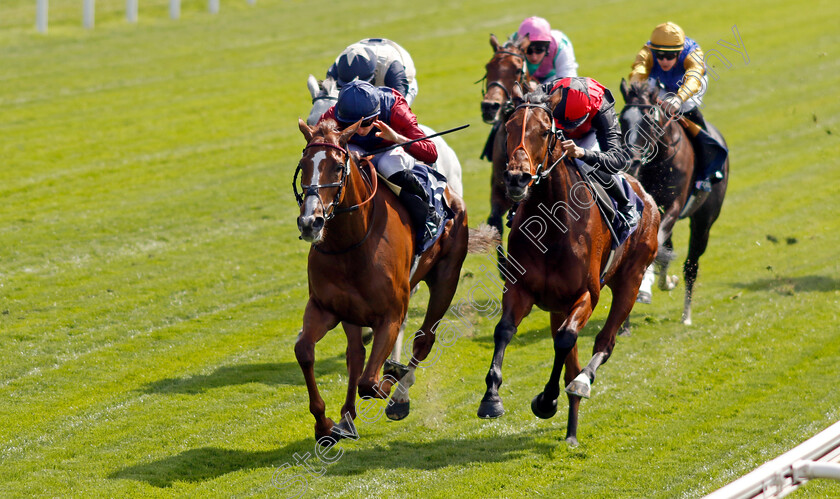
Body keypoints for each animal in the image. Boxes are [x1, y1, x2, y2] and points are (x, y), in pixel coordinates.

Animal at [296, 118, 482, 446]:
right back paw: (346, 419)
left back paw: (399, 397)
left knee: (423, 340)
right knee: (356, 355)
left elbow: (370, 382)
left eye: (337, 166)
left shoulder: (390, 314)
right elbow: (305, 351)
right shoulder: (324, 307)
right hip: (353, 312)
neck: (352, 242)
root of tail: (450, 192)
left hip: (446, 279)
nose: (310, 222)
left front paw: (391, 377)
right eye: (304, 164)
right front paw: (323, 424)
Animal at [476, 89, 660, 446]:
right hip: (559, 306)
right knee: (571, 359)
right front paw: (491, 398)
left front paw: (546, 401)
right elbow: (504, 330)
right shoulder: (520, 288)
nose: (517, 178)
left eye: (544, 131)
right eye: (508, 127)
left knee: (603, 343)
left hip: (630, 281)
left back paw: (582, 386)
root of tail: (647, 196)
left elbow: (565, 340)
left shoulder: (587, 294)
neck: (553, 225)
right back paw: (571, 428)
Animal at [616, 80, 728, 326]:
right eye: (622, 120)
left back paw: (686, 315)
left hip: (704, 220)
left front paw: (646, 284)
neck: (659, 162)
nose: (631, 162)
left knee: (691, 264)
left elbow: (657, 244)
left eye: (648, 119)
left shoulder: (674, 206)